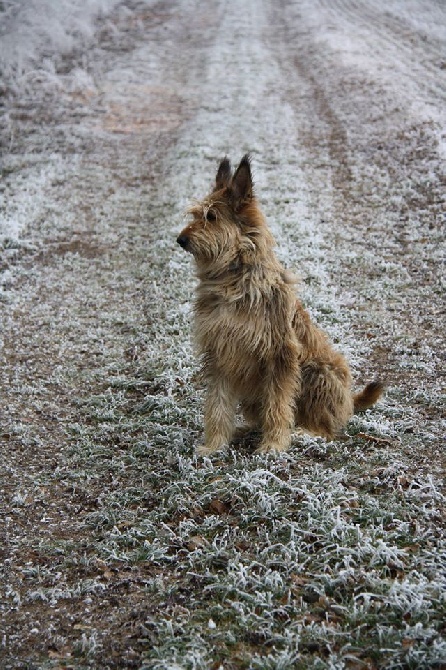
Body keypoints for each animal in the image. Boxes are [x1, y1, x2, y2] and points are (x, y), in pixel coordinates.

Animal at [176, 154, 382, 454]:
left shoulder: (280, 354)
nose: (180, 239)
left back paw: (304, 432)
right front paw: (214, 444)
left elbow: (278, 403)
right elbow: (217, 402)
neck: (234, 279)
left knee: (327, 428)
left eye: (211, 217)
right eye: (195, 215)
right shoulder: (219, 352)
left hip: (315, 372)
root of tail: (348, 400)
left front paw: (273, 445)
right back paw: (245, 429)